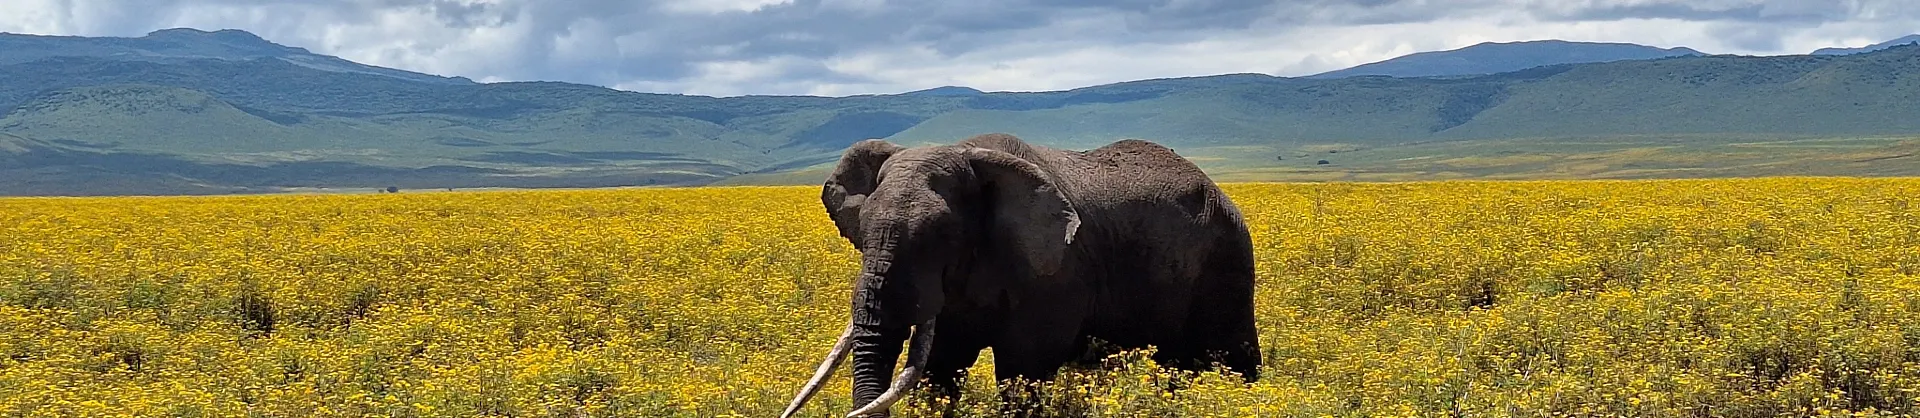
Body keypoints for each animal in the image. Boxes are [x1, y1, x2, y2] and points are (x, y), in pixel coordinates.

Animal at [779, 132, 1259, 416]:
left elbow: (1023, 366)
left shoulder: (1059, 270)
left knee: (1236, 359)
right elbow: (940, 366)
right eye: (862, 228)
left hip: (1228, 259)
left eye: (941, 234)